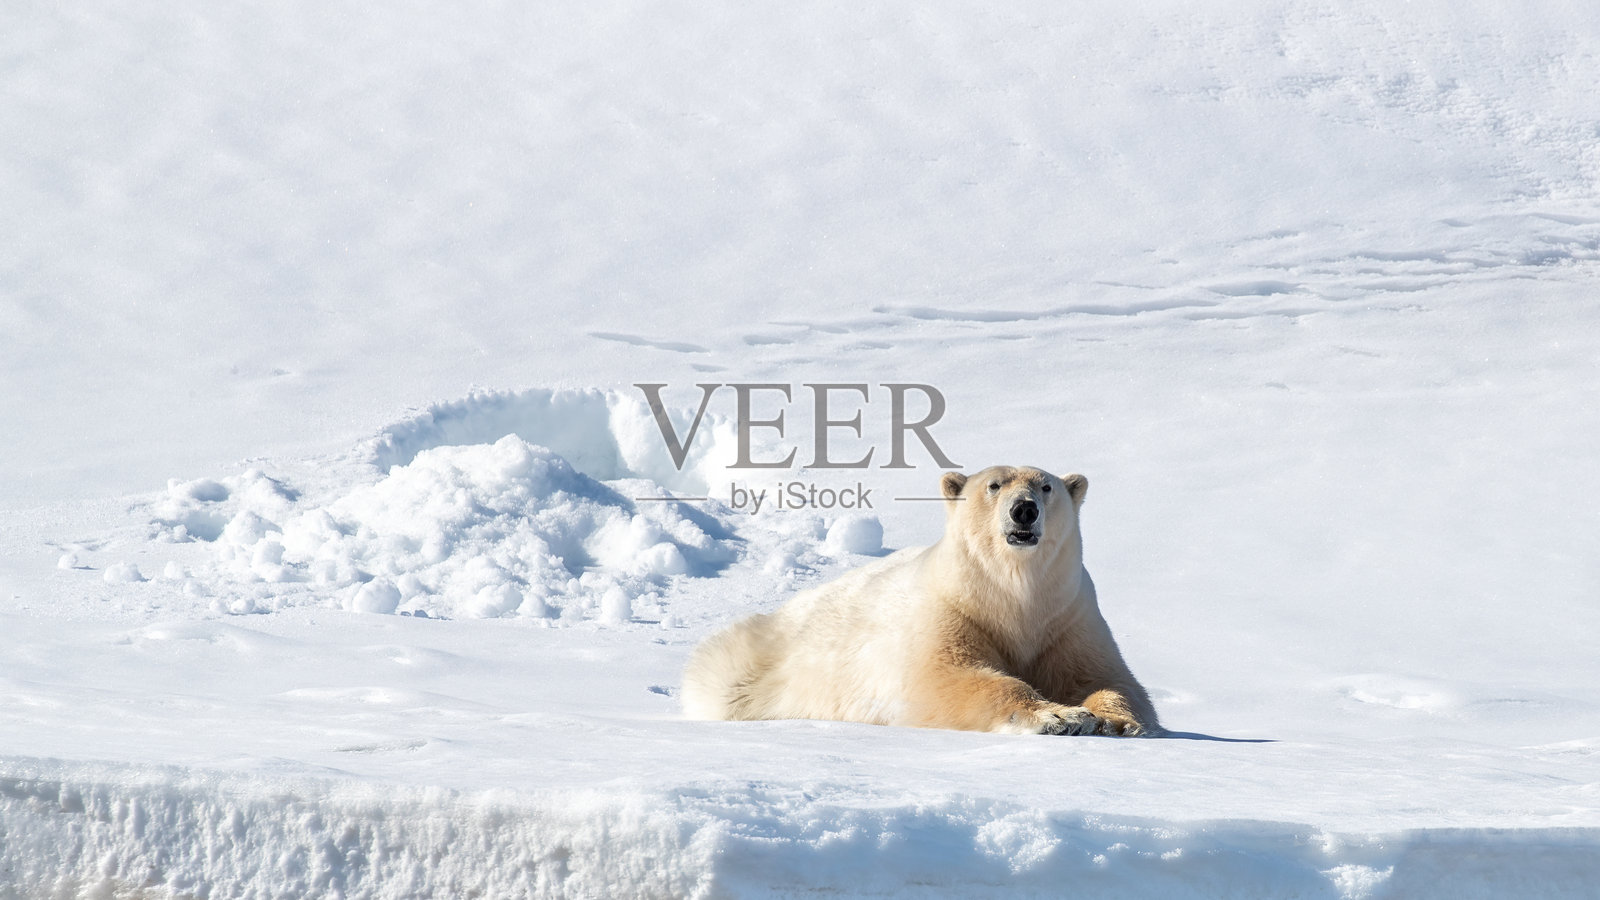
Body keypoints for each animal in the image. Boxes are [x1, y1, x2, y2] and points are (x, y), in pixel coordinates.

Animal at [681, 466, 1160, 736]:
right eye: (994, 485)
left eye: (1046, 487)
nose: (1023, 509)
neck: (1013, 598)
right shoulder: (950, 612)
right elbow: (950, 679)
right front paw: (1061, 717)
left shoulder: (1067, 617)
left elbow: (1106, 677)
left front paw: (1113, 720)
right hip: (758, 659)